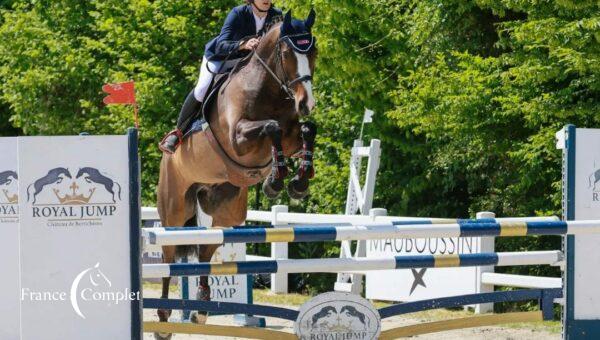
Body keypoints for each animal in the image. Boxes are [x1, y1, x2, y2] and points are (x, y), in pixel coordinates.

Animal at [156, 8, 318, 338]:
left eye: (314, 52)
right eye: (287, 53)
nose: (306, 103)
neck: (269, 90)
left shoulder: (293, 135)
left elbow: (307, 130)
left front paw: (296, 182)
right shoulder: (238, 139)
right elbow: (272, 127)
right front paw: (276, 180)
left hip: (225, 211)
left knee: (206, 251)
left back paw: (201, 310)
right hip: (174, 209)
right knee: (168, 257)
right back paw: (164, 319)